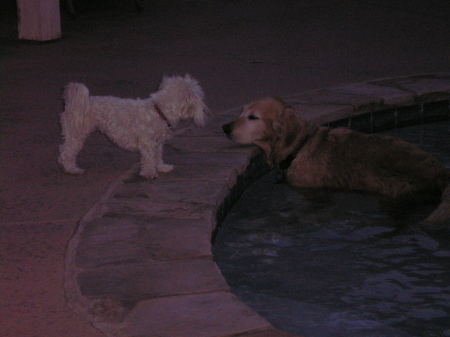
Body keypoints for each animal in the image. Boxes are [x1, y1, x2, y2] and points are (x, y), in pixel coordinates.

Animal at [57, 73, 207, 178]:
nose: (204, 108)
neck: (159, 111)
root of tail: (72, 104)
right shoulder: (147, 143)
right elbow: (149, 158)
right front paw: (149, 173)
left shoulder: (157, 143)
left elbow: (158, 156)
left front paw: (162, 167)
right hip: (76, 134)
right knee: (66, 152)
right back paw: (72, 169)